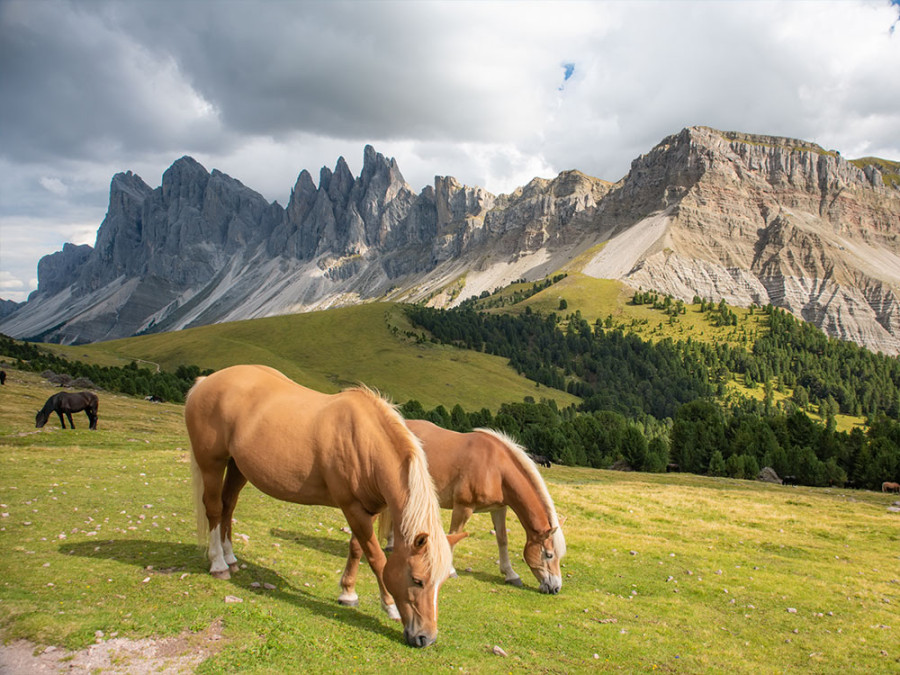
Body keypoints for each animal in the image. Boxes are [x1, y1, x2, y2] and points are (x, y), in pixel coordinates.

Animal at [185, 368, 464, 648]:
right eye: (418, 580)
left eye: (440, 583)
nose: (426, 638)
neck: (365, 441)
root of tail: (206, 381)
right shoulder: (352, 508)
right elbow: (376, 557)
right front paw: (390, 606)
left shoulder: (368, 510)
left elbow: (357, 548)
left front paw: (348, 593)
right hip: (211, 463)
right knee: (214, 509)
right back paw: (219, 564)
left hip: (237, 466)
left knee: (228, 506)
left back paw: (230, 558)